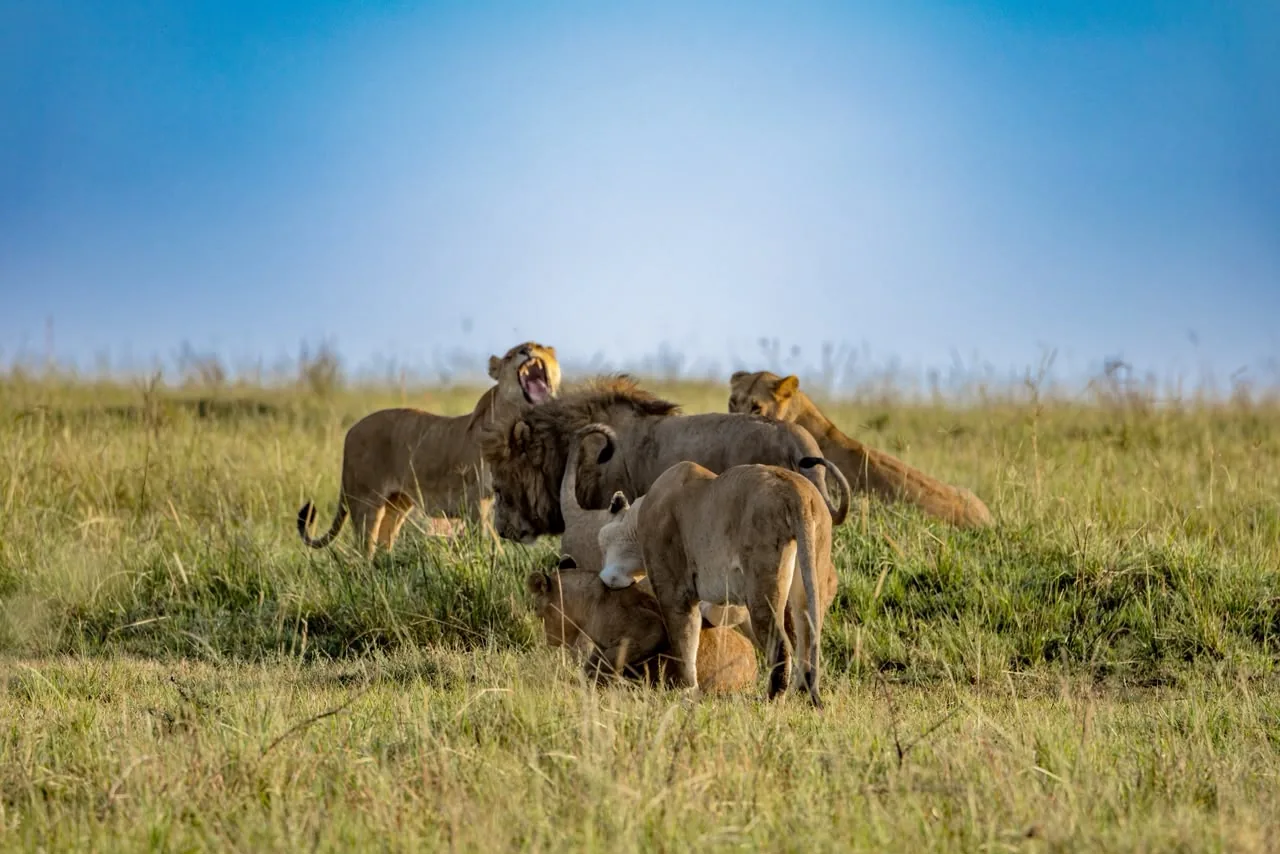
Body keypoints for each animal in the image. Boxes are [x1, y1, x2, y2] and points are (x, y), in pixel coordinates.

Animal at [296, 342, 561, 557]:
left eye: (538, 346)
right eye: (509, 356)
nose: (526, 350)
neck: (516, 421)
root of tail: (349, 432)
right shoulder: (477, 499)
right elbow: (489, 541)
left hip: (396, 504)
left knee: (384, 542)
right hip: (365, 502)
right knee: (364, 547)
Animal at [526, 556, 757, 693]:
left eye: (537, 611)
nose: (549, 639)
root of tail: (754, 662)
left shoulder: (652, 629)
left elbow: (607, 661)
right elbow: (595, 662)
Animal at [596, 462, 838, 707]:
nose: (605, 577)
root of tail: (798, 492)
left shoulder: (675, 591)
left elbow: (684, 640)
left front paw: (686, 691)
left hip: (763, 584)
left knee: (780, 643)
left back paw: (771, 699)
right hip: (810, 573)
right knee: (807, 632)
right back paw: (801, 692)